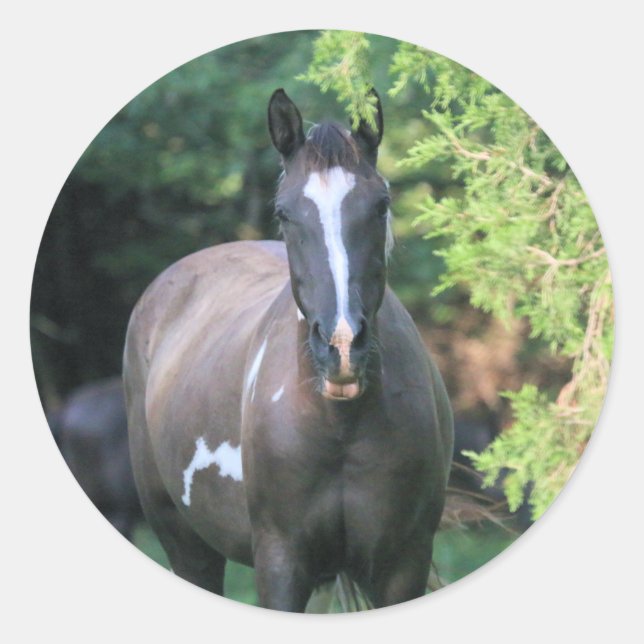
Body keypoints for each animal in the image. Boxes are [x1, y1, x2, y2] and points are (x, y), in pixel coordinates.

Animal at [123, 88, 454, 612]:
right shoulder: (282, 561)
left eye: (381, 205)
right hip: (186, 543)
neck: (339, 426)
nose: (342, 345)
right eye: (284, 212)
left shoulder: (403, 563)